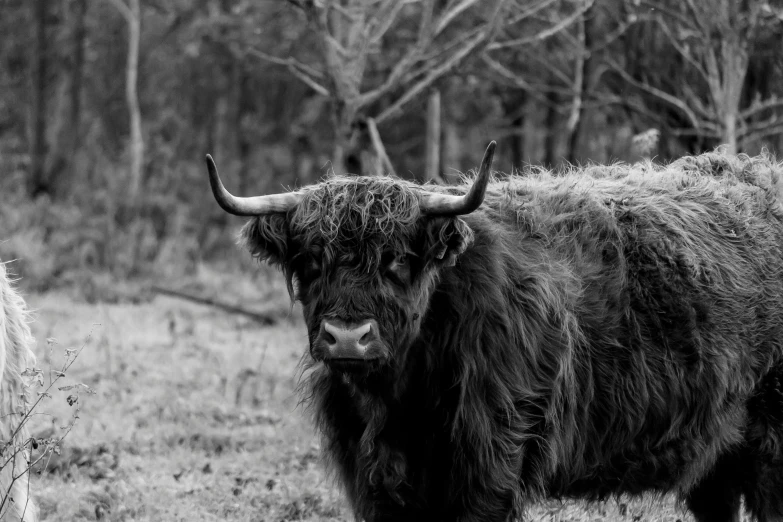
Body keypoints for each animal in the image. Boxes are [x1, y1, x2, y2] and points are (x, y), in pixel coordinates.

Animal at [208, 142, 783, 520]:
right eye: (310, 262)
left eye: (398, 261)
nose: (348, 337)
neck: (396, 399)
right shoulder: (374, 476)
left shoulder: (491, 462)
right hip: (714, 450)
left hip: (771, 442)